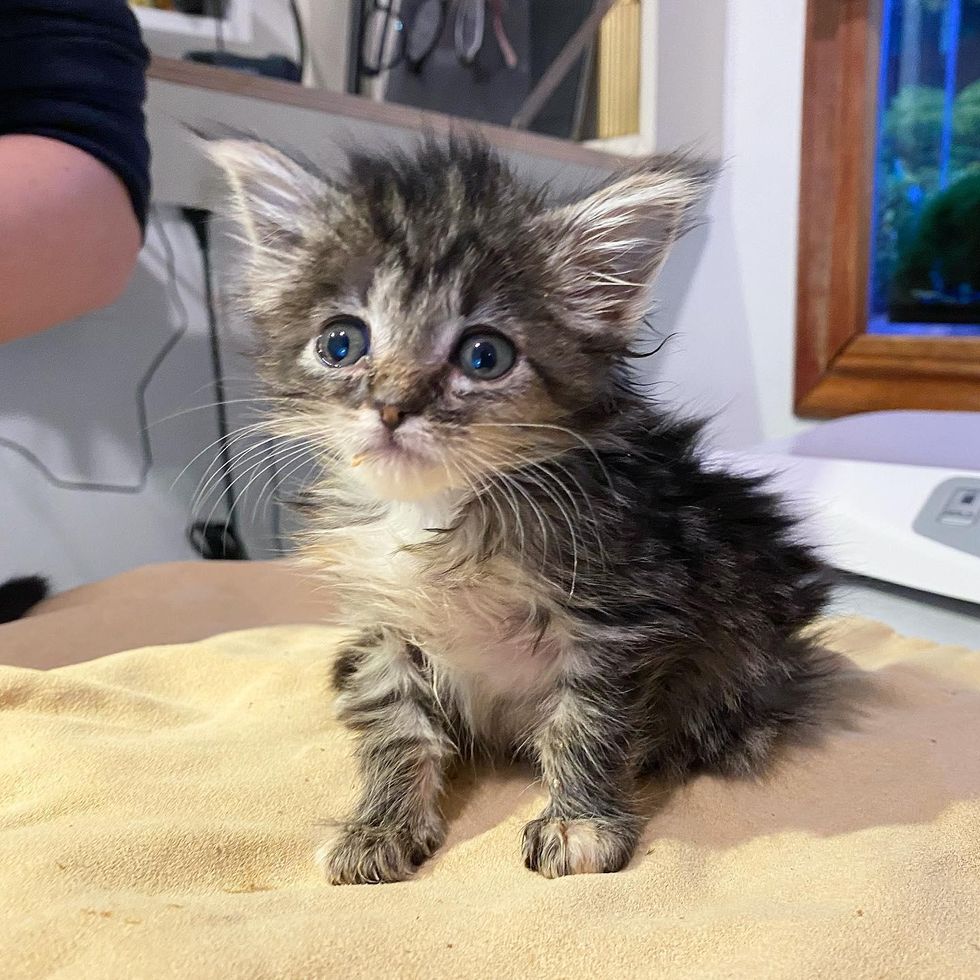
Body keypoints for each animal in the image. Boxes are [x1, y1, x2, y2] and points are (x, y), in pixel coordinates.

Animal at [209, 136, 836, 880]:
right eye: (341, 343)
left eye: (485, 355)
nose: (391, 407)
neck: (437, 510)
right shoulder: (384, 623)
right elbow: (396, 727)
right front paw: (381, 825)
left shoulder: (618, 613)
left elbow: (588, 724)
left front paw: (581, 823)